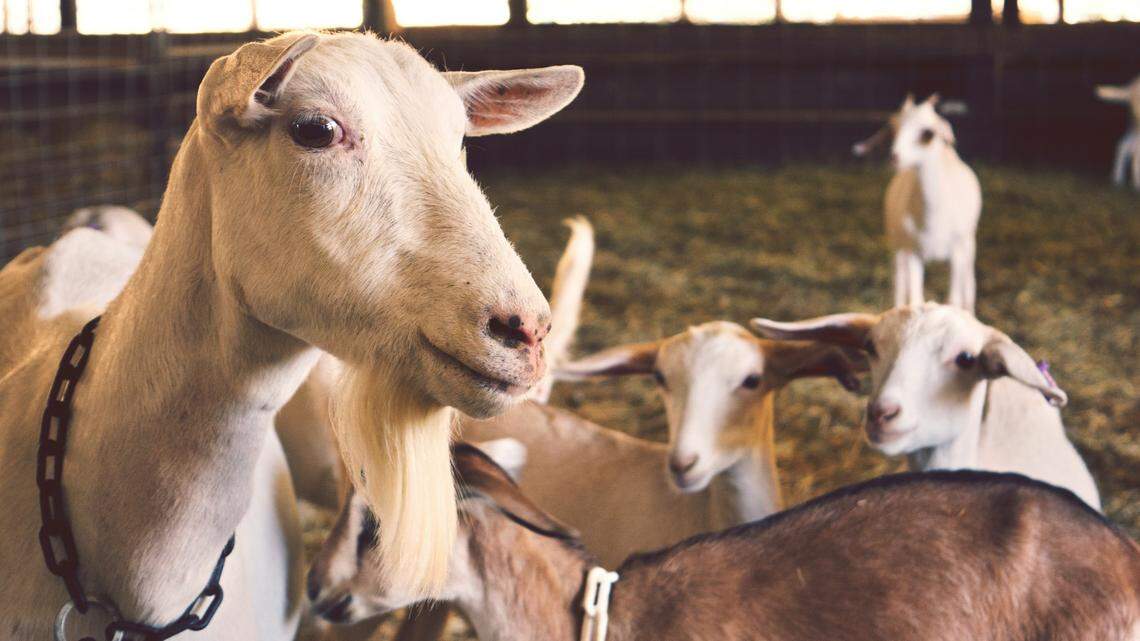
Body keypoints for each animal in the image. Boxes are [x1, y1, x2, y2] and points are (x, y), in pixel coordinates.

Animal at [867, 93, 981, 312]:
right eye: (894, 127)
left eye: (928, 133)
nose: (894, 157)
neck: (933, 217)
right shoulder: (913, 250)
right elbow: (915, 298)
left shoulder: (957, 250)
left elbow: (954, 299)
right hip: (897, 244)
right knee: (899, 283)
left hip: (969, 242)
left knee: (970, 285)